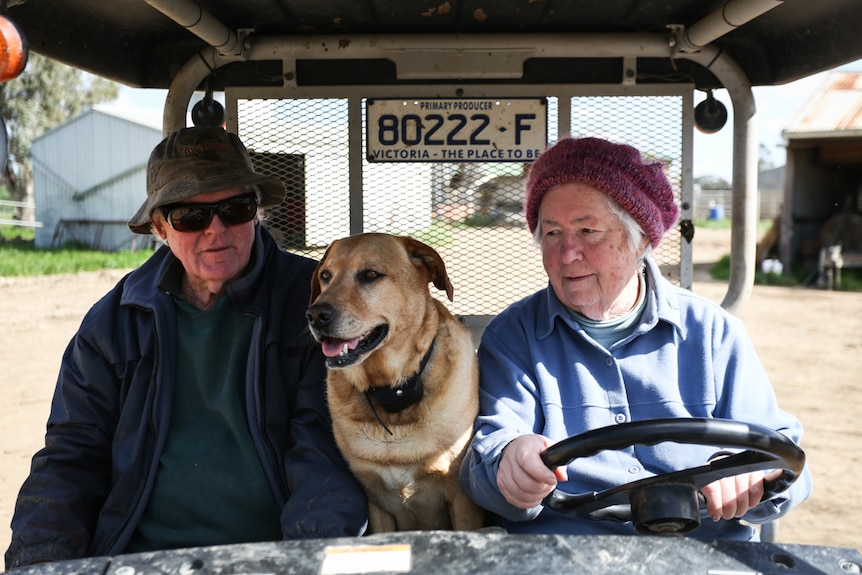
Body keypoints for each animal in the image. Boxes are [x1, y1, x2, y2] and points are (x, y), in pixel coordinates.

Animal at [308, 232, 486, 532]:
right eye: (325, 275)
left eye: (370, 275)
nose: (315, 316)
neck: (392, 393)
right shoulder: (376, 503)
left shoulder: (462, 499)